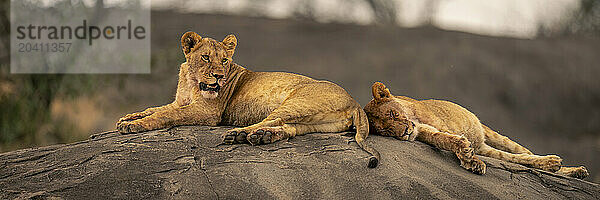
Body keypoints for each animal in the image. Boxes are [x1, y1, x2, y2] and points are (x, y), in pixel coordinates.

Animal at [116, 32, 380, 167]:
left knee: (272, 120)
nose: (219, 77)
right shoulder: (179, 101)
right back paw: (259, 137)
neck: (192, 81)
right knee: (289, 128)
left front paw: (133, 126)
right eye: (205, 57)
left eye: (224, 60)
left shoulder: (208, 112)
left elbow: (165, 115)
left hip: (295, 101)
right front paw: (127, 118)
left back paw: (239, 134)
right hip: (316, 123)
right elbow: (154, 108)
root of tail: (355, 102)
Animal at [364, 82, 588, 179]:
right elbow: (446, 140)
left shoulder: (438, 125)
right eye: (386, 132)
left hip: (494, 135)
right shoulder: (426, 133)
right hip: (486, 147)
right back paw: (559, 168)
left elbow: (453, 138)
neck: (414, 120)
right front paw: (471, 161)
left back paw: (563, 167)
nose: (403, 133)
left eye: (392, 114)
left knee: (524, 153)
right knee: (511, 158)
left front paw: (468, 157)